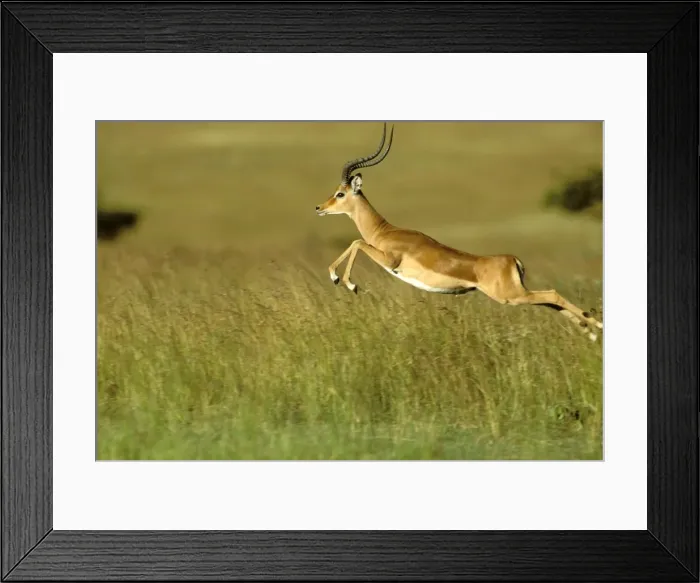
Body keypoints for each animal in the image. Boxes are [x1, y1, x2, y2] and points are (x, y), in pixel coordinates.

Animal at [315, 123, 603, 341]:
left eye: (340, 194)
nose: (319, 207)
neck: (384, 231)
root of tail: (512, 260)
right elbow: (355, 243)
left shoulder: (390, 260)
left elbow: (356, 242)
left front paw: (345, 282)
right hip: (518, 295)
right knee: (552, 301)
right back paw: (590, 332)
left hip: (511, 296)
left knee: (552, 295)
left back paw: (596, 327)